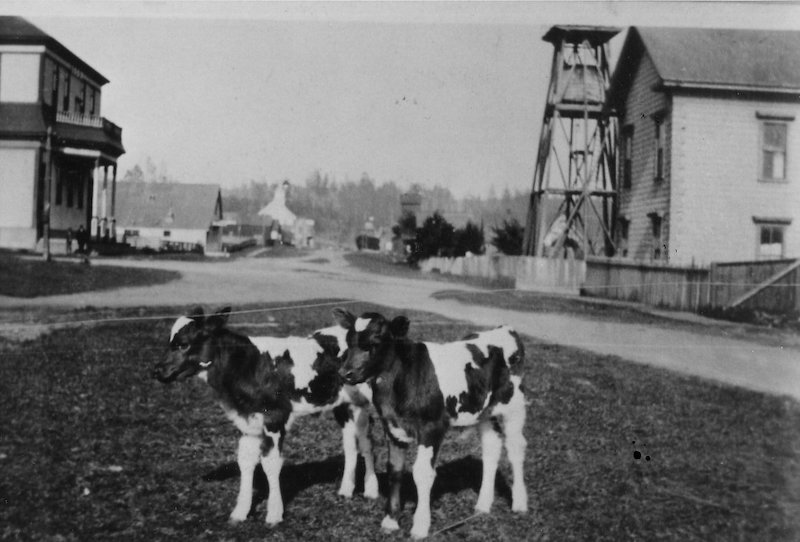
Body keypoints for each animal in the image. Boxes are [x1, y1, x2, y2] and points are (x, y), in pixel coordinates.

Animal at [153, 308, 378, 528]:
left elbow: (271, 463)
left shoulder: (275, 417)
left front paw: (274, 514)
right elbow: (245, 460)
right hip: (343, 405)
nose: (157, 371)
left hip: (366, 401)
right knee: (350, 443)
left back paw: (371, 490)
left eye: (183, 344)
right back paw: (346, 490)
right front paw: (240, 512)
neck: (248, 365)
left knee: (366, 442)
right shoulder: (248, 421)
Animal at [334, 310, 528, 540]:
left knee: (515, 450)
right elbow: (395, 470)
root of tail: (505, 329)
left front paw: (420, 526)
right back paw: (483, 505)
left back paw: (519, 503)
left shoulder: (432, 428)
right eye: (348, 341)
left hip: (514, 407)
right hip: (484, 412)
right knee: (492, 448)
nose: (344, 373)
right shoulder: (392, 426)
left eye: (375, 342)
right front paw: (390, 520)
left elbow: (423, 473)